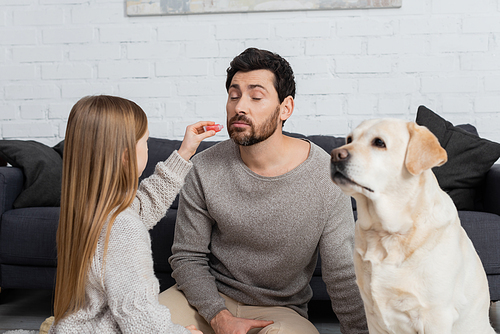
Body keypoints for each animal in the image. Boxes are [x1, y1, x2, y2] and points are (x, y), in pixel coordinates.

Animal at [330, 119, 494, 334]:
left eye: (379, 143)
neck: (387, 233)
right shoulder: (372, 316)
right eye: (349, 139)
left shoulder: (436, 316)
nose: (335, 155)